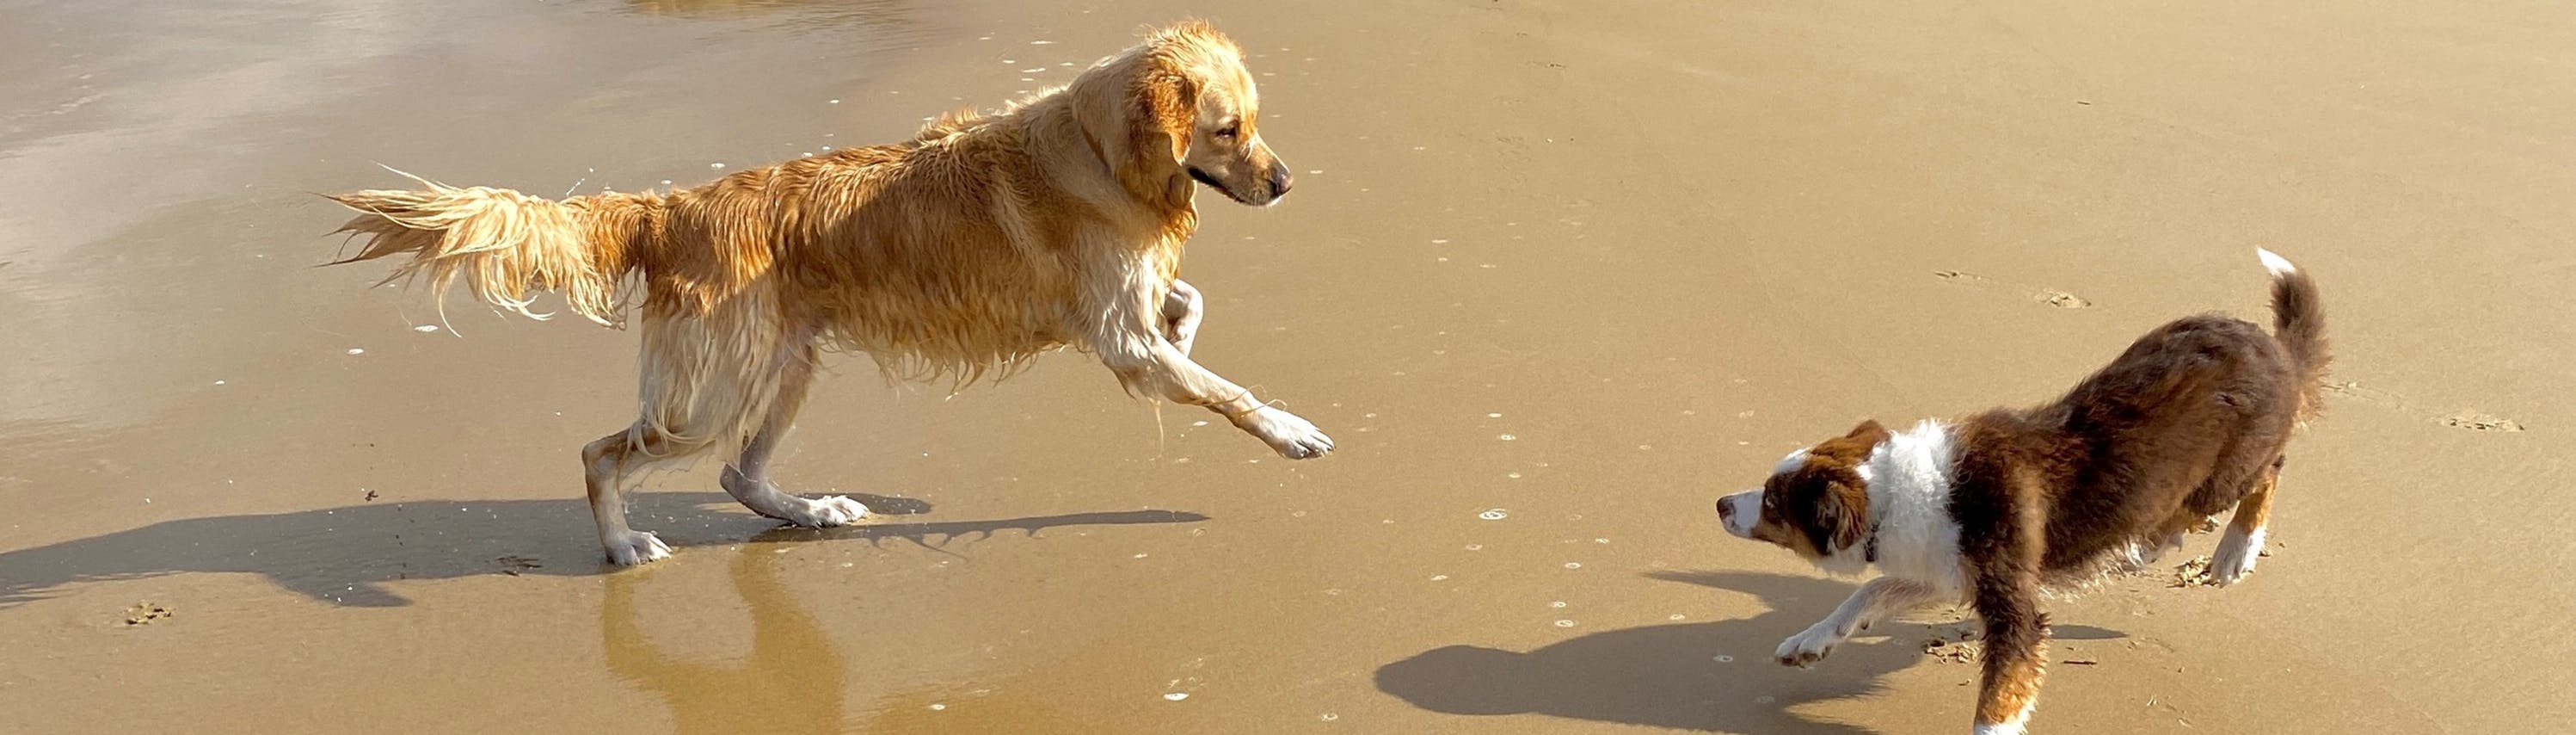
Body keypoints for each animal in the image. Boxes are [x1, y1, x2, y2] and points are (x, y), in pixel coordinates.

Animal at [322, 21, 1329, 559]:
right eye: (1229, 129)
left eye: (1255, 122)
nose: (1287, 184)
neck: (1097, 150)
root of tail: (670, 206)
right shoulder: (1115, 335)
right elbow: (1224, 388)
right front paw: (1288, 429)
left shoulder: (1124, 312)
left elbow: (1185, 314)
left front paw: (1189, 333)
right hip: (711, 393)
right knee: (604, 453)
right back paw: (622, 544)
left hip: (788, 363)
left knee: (738, 471)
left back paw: (811, 511)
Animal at [1720, 247, 2328, 732]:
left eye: (1773, 501)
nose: (1721, 504)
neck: (1898, 494)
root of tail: (2274, 347)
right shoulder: (1947, 570)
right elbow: (1869, 592)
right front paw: (1808, 642)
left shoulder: (2014, 605)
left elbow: (1998, 698)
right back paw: (2146, 547)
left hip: (2227, 473)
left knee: (2268, 472)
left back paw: (2234, 551)